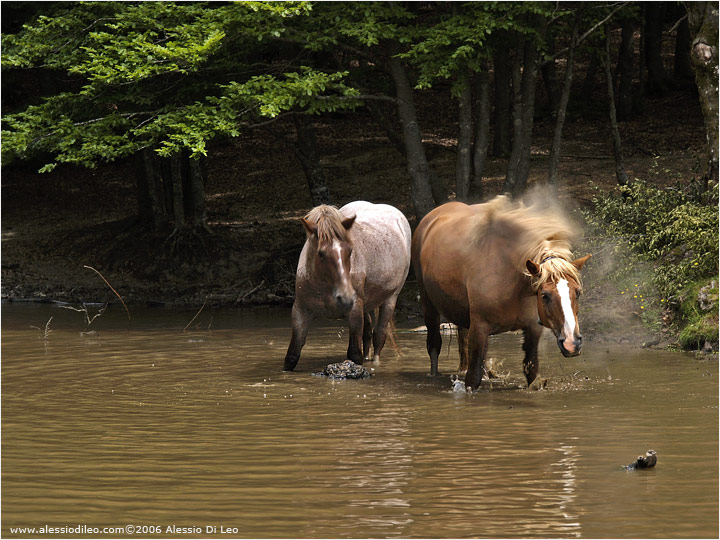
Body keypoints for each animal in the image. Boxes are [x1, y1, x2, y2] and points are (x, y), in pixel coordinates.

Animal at [286, 202, 410, 372]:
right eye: (320, 253)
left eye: (350, 251)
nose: (346, 297)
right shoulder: (301, 310)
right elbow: (292, 356)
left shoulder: (354, 310)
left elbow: (354, 354)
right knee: (368, 333)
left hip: (391, 299)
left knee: (379, 335)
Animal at [410, 196, 592, 390]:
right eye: (545, 295)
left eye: (578, 292)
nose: (572, 343)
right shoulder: (479, 327)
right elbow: (472, 378)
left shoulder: (532, 329)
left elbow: (531, 371)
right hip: (429, 306)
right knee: (434, 345)